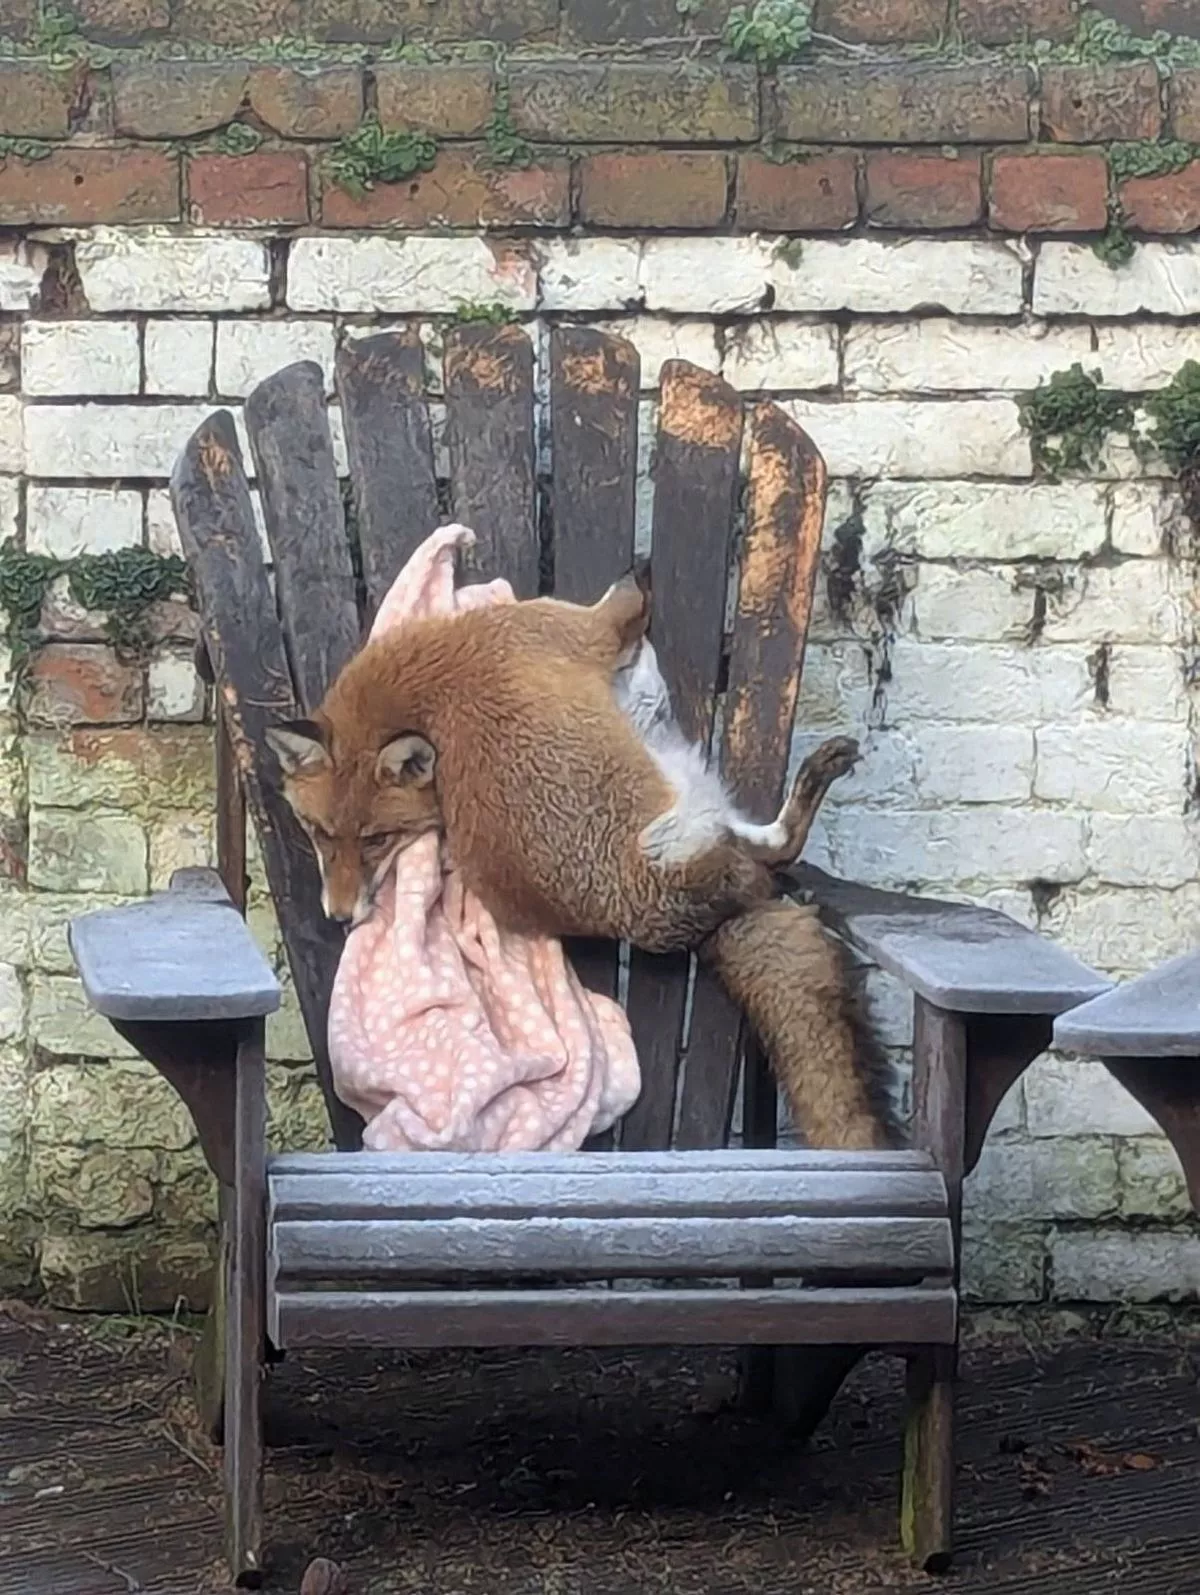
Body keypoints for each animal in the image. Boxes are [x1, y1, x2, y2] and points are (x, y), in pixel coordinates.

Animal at [266, 571, 894, 1150]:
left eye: (375, 840)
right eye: (322, 834)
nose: (340, 916)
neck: (430, 669)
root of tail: (701, 920)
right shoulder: (578, 629)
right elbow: (624, 606)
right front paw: (638, 589)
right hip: (689, 806)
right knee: (779, 847)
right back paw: (814, 777)